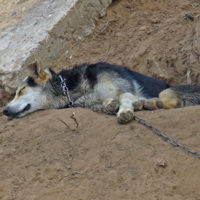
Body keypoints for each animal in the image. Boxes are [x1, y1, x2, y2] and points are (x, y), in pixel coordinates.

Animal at [3, 61, 200, 122]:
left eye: (21, 90)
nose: (4, 110)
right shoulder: (93, 100)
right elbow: (106, 101)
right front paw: (110, 104)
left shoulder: (125, 89)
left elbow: (126, 99)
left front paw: (124, 110)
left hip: (167, 92)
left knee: (169, 102)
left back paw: (149, 103)